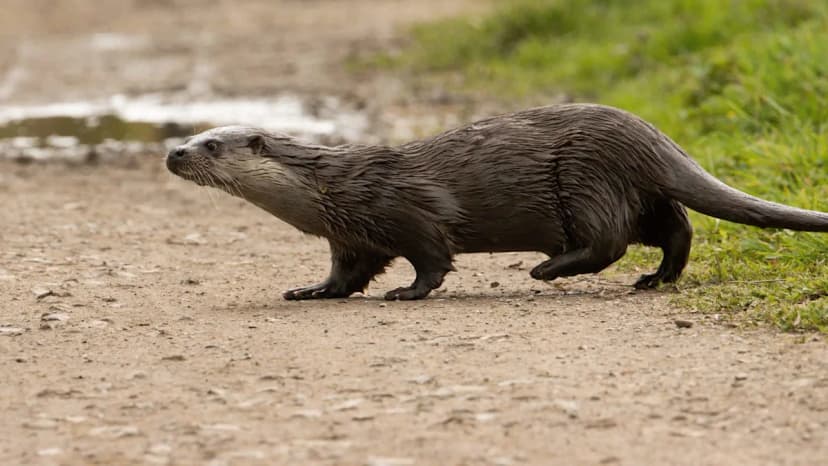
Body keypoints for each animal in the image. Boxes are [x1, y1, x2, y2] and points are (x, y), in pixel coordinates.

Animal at [165, 103, 828, 300]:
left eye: (212, 144)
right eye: (192, 135)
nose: (174, 152)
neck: (334, 189)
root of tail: (645, 133)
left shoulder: (408, 210)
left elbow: (432, 259)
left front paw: (406, 293)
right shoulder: (352, 235)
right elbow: (344, 275)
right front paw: (309, 291)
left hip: (584, 178)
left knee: (609, 239)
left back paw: (547, 269)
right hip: (628, 188)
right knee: (676, 230)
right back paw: (654, 280)